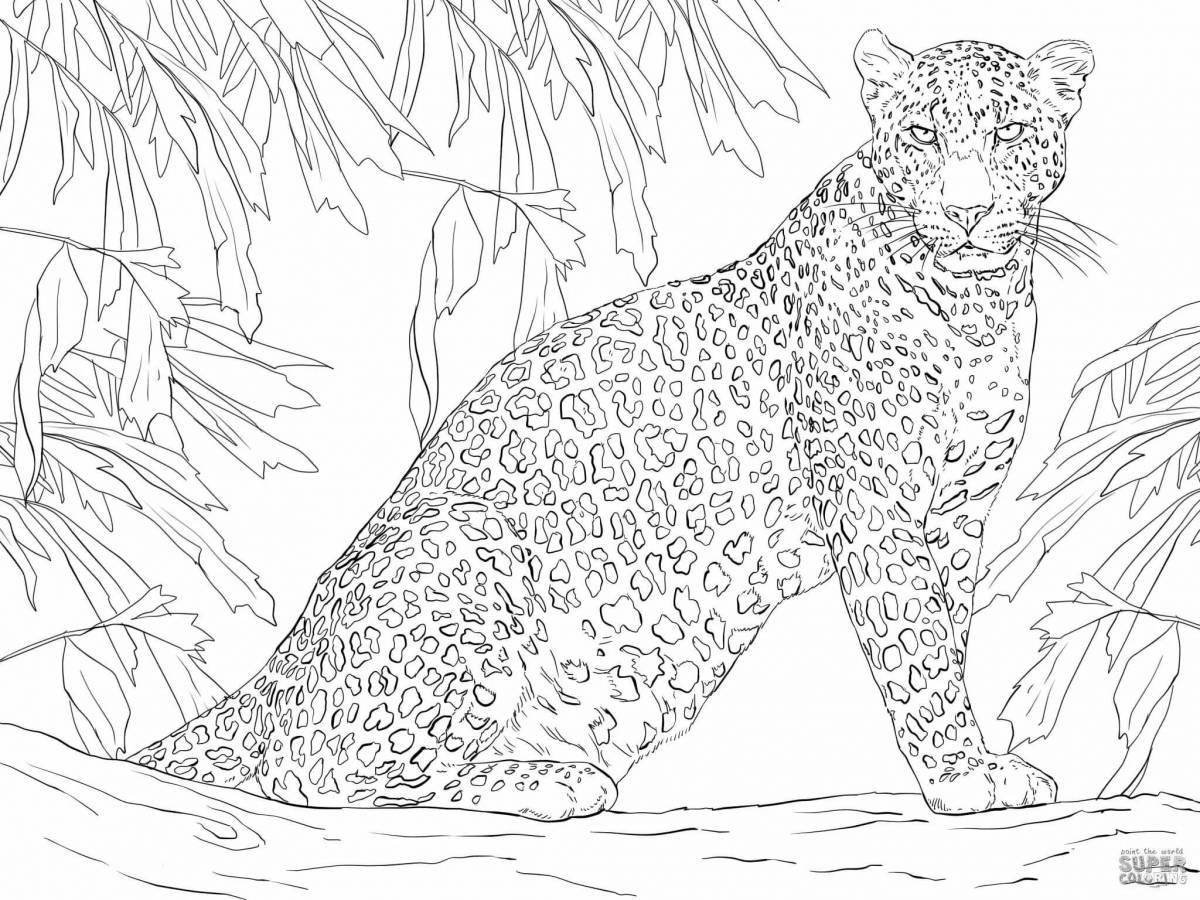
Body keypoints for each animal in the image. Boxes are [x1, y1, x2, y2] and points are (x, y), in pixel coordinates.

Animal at [132, 30, 1094, 819]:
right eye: (924, 136)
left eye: (1011, 134)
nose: (967, 210)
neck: (973, 306)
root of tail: (277, 671)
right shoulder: (875, 505)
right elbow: (916, 643)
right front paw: (963, 775)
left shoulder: (958, 511)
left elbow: (947, 630)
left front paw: (968, 762)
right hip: (459, 554)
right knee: (321, 772)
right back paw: (549, 786)